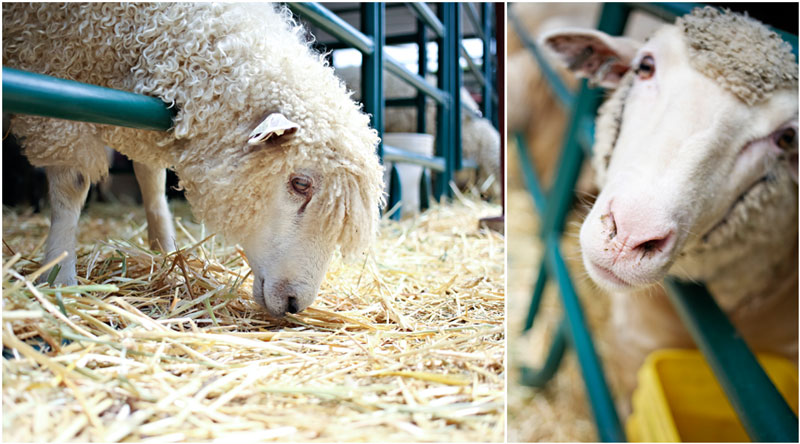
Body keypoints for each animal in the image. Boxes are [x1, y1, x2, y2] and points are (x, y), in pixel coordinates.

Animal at [2, 1, 384, 318]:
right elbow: (73, 182)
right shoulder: (58, 77)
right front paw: (59, 273)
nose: (294, 304)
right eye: (300, 183)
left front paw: (164, 246)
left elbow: (151, 176)